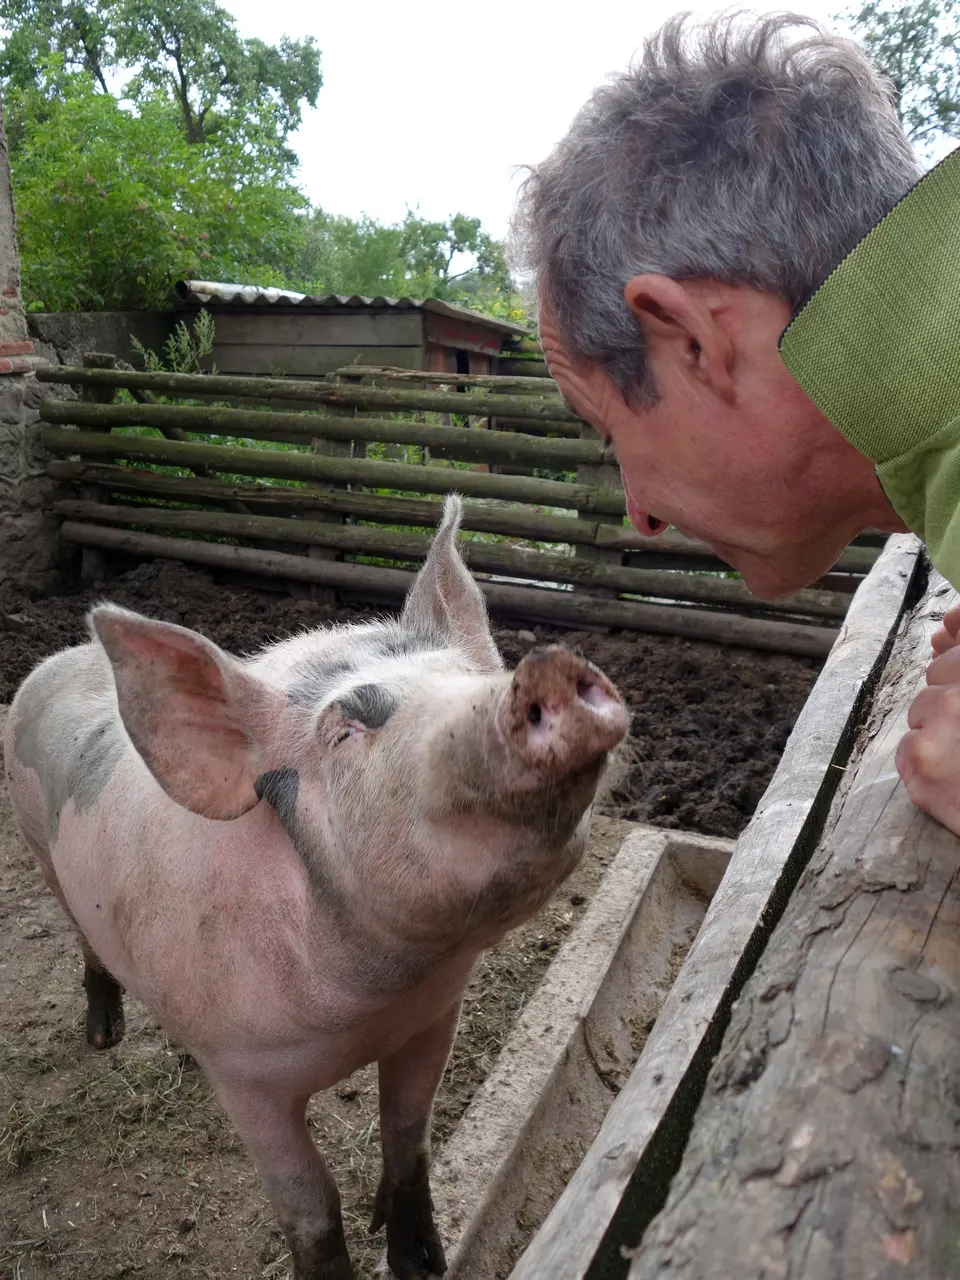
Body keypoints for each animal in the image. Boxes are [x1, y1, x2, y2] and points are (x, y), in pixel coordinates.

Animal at [3, 495, 628, 1280]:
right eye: (344, 728)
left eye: (470, 672)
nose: (547, 671)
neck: (374, 1001)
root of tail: (56, 660)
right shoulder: (247, 1079)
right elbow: (311, 1206)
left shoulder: (434, 1015)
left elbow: (407, 1137)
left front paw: (425, 1263)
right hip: (39, 846)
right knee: (83, 940)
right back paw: (102, 1038)